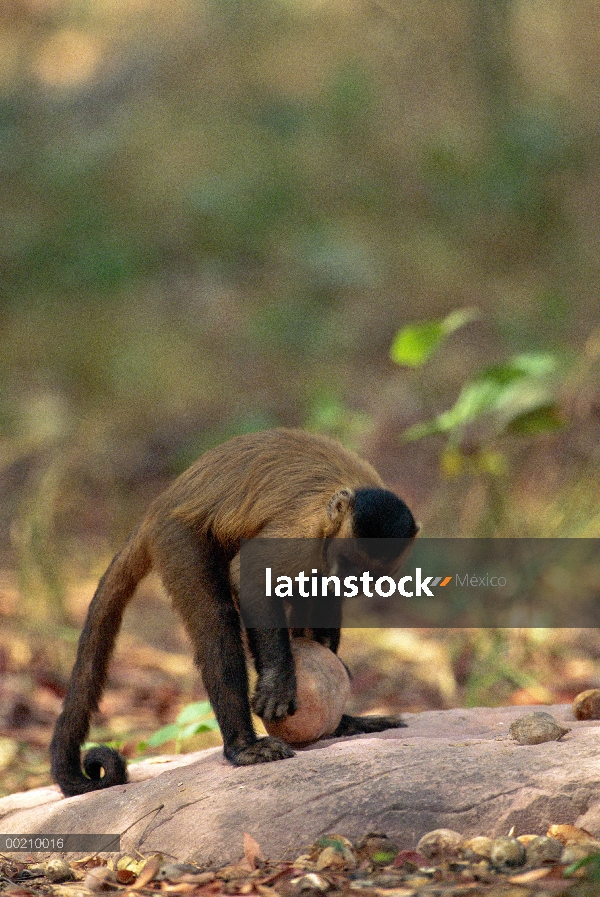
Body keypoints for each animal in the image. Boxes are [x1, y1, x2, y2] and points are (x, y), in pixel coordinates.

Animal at [50, 428, 418, 800]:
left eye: (368, 574)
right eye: (348, 563)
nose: (348, 581)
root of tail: (162, 503)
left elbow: (318, 598)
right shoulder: (305, 529)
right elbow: (250, 576)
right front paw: (277, 683)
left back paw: (340, 722)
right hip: (177, 535)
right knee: (217, 620)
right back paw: (242, 746)